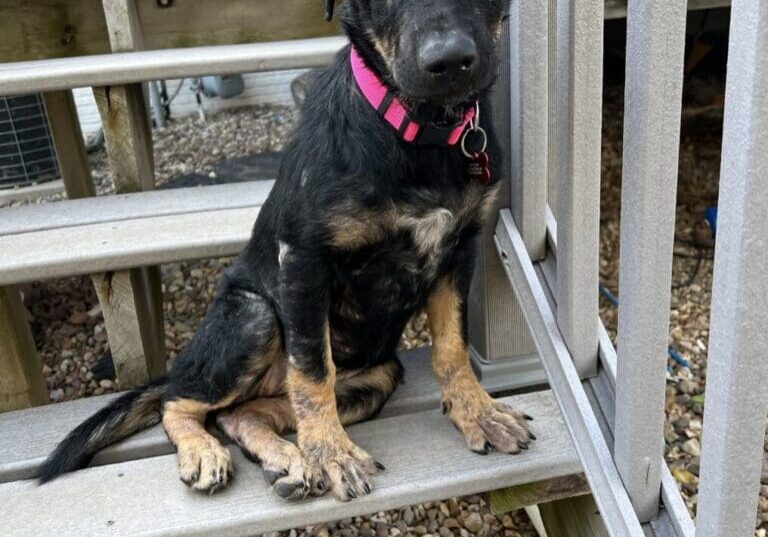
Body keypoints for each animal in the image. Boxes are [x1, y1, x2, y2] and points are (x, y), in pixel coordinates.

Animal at [40, 0, 536, 502]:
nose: (450, 61)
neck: (417, 131)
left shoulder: (460, 249)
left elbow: (453, 346)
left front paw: (478, 413)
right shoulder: (303, 259)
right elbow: (313, 370)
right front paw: (332, 454)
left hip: (376, 378)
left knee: (241, 412)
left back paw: (287, 460)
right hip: (254, 317)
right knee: (178, 401)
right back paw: (209, 452)